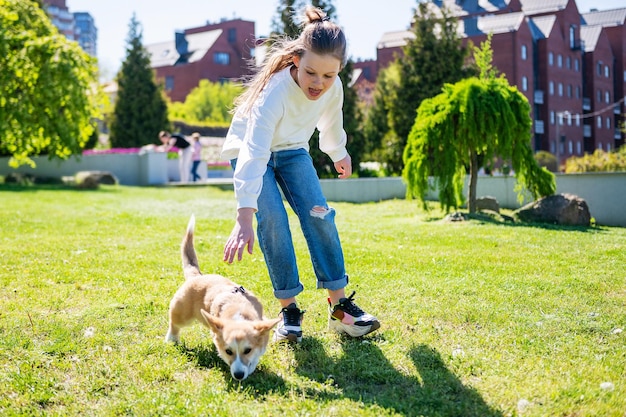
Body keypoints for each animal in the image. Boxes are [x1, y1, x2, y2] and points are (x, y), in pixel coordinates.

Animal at [166, 214, 278, 380]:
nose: (238, 375)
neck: (239, 314)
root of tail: (197, 276)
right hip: (182, 315)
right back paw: (171, 340)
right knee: (174, 324)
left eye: (248, 350)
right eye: (228, 351)